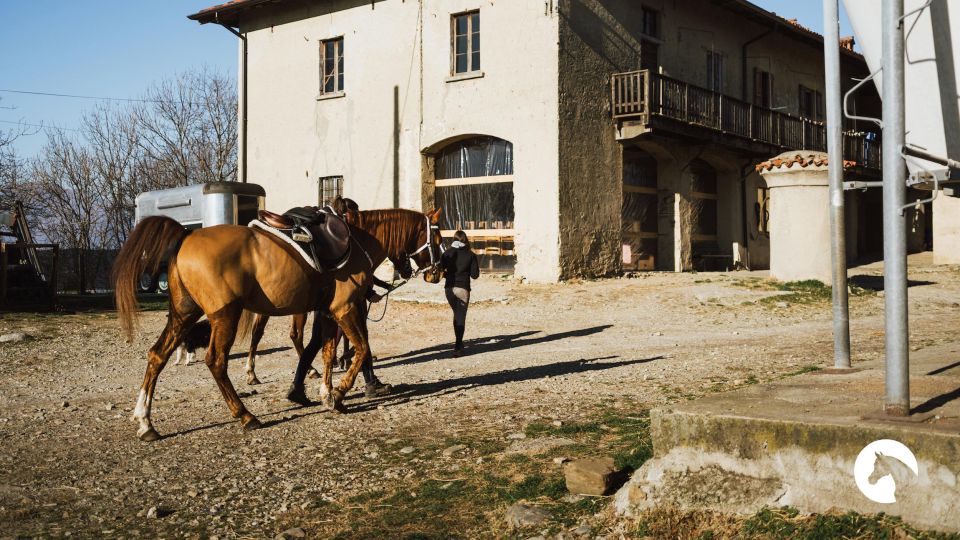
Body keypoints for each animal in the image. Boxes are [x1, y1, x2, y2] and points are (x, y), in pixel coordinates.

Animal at [113, 209, 442, 440]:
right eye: (436, 240)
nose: (436, 273)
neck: (356, 243)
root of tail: (185, 236)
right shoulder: (345, 308)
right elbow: (361, 349)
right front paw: (337, 395)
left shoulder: (327, 313)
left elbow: (327, 352)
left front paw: (326, 394)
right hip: (224, 316)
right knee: (216, 361)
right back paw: (245, 415)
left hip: (184, 315)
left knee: (157, 355)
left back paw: (145, 422)